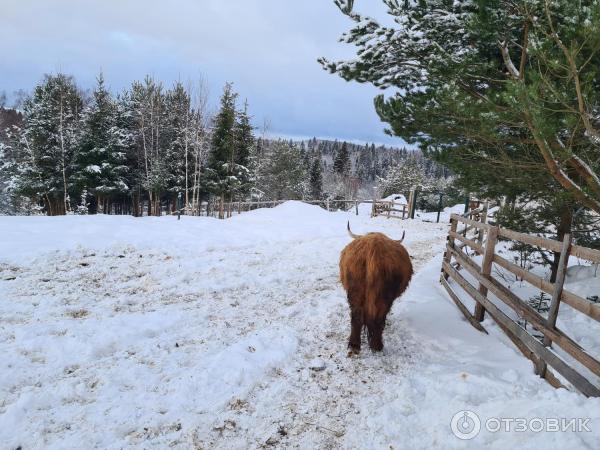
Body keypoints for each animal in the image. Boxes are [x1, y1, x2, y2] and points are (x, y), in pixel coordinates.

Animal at [342, 223, 412, 354]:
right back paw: (375, 345)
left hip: (357, 292)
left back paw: (357, 345)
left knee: (359, 316)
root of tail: (373, 250)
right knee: (376, 318)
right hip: (383, 296)